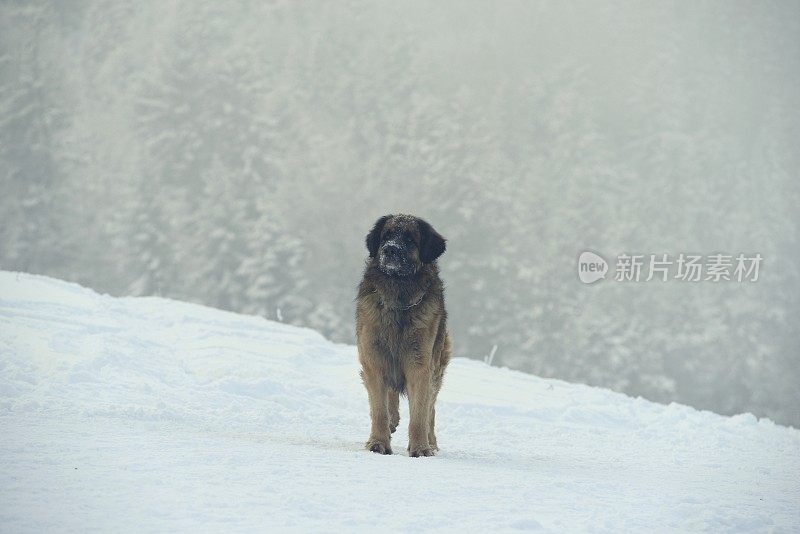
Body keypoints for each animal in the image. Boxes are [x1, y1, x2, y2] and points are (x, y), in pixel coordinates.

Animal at [356, 216, 450, 458]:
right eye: (386, 236)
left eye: (409, 240)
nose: (390, 249)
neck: (398, 299)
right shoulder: (374, 359)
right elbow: (379, 410)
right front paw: (378, 443)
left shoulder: (420, 365)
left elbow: (420, 415)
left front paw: (420, 448)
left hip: (437, 367)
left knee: (430, 410)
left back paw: (431, 443)